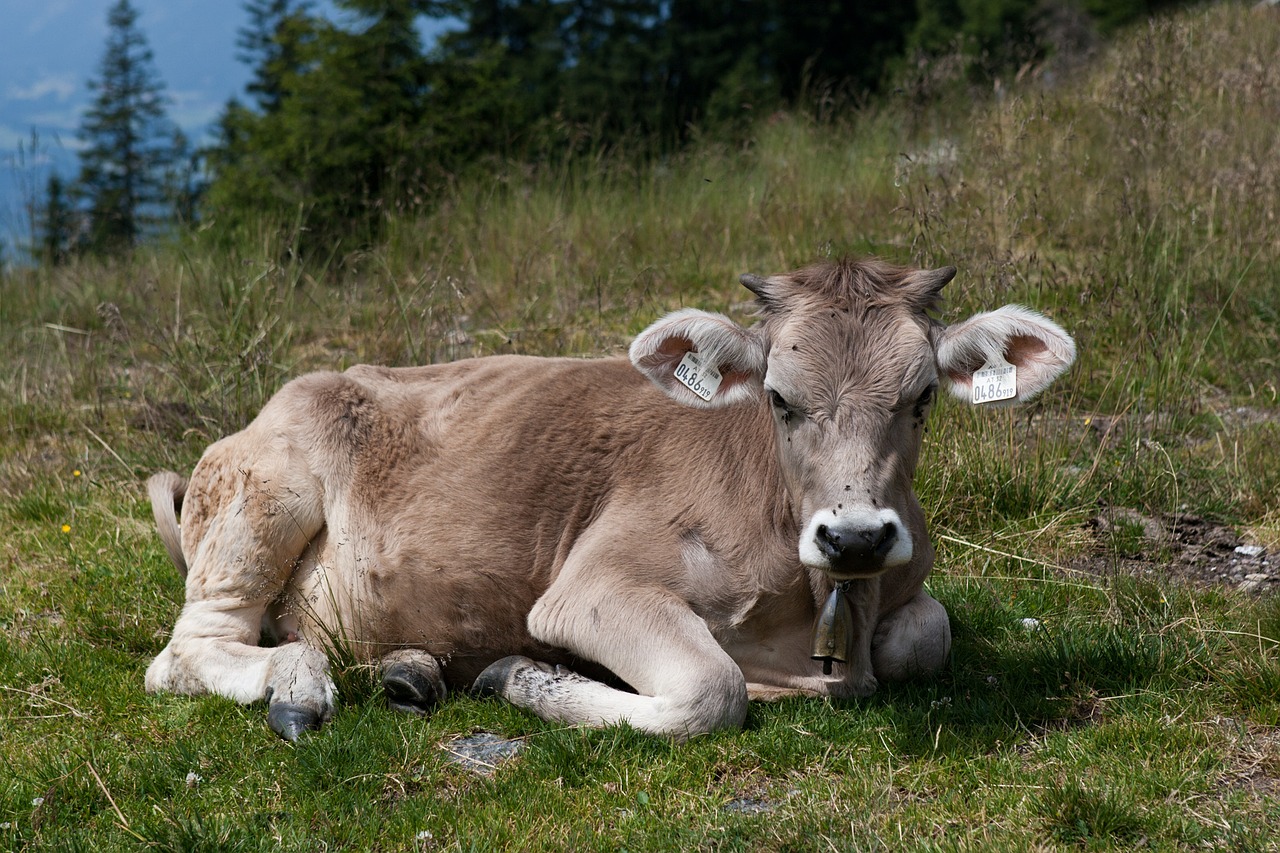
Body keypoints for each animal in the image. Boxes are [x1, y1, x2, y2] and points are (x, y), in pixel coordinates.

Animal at [145, 253, 1075, 737]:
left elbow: (928, 633)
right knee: (189, 648)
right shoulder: (593, 586)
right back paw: (299, 686)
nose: (854, 537)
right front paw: (522, 673)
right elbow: (711, 690)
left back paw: (410, 668)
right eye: (778, 398)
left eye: (921, 399)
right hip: (264, 492)